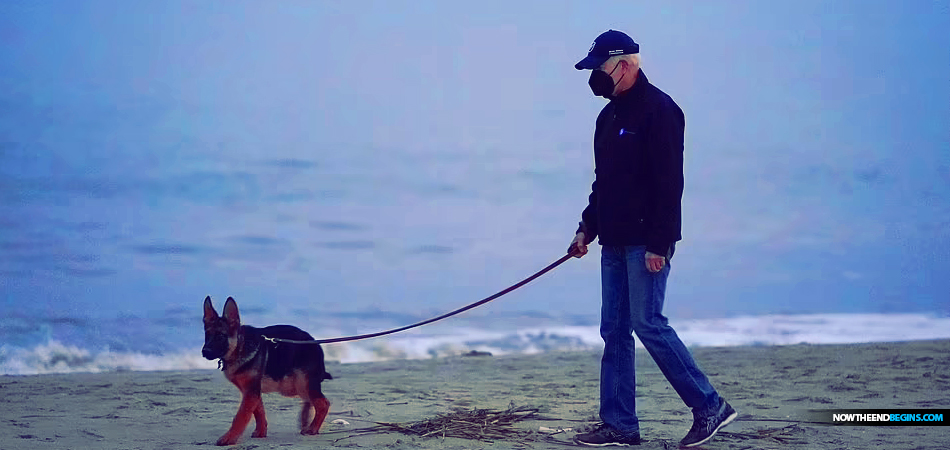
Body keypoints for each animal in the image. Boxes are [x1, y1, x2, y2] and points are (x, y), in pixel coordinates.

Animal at [203, 296, 332, 446]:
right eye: (207, 335)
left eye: (220, 336)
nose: (205, 352)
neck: (239, 346)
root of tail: (315, 344)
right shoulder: (251, 391)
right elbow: (258, 412)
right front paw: (261, 432)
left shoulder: (251, 391)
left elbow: (241, 416)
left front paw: (229, 438)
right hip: (294, 386)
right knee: (310, 400)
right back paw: (305, 420)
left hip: (300, 383)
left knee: (323, 403)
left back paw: (313, 428)